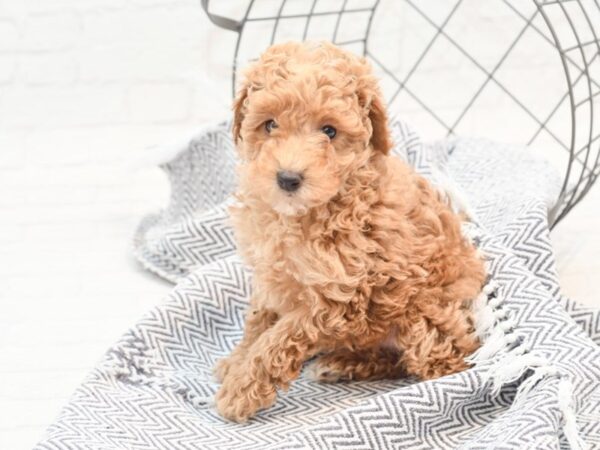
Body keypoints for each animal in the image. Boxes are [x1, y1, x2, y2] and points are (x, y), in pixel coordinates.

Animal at [213, 41, 486, 422]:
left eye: (329, 131)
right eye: (269, 124)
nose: (288, 178)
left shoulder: (340, 297)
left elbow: (280, 338)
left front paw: (242, 387)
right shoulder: (272, 276)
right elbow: (258, 320)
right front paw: (236, 362)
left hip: (424, 316)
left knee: (432, 365)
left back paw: (347, 364)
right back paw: (342, 364)